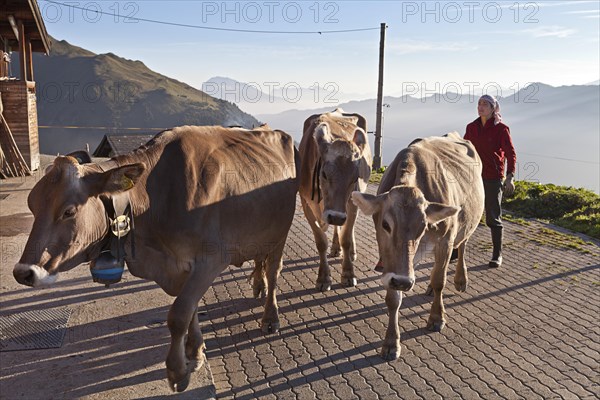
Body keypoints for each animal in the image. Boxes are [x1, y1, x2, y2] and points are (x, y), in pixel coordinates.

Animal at [15, 126, 300, 392]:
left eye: (69, 211)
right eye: (31, 205)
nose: (23, 272)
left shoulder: (210, 260)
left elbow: (179, 314)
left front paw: (177, 372)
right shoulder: (180, 268)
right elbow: (191, 310)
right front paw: (195, 352)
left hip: (281, 232)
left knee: (274, 270)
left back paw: (270, 318)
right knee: (261, 261)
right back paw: (258, 286)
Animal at [298, 108, 372, 290]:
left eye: (355, 178)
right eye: (324, 173)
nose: (336, 216)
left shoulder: (351, 202)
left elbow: (346, 237)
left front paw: (348, 274)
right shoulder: (305, 201)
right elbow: (320, 242)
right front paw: (323, 278)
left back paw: (350, 252)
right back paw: (335, 247)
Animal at [352, 134, 482, 360]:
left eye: (423, 226)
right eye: (385, 225)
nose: (404, 282)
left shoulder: (446, 240)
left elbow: (440, 280)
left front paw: (437, 318)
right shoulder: (390, 259)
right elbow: (393, 298)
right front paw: (391, 342)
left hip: (466, 223)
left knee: (462, 246)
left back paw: (460, 279)